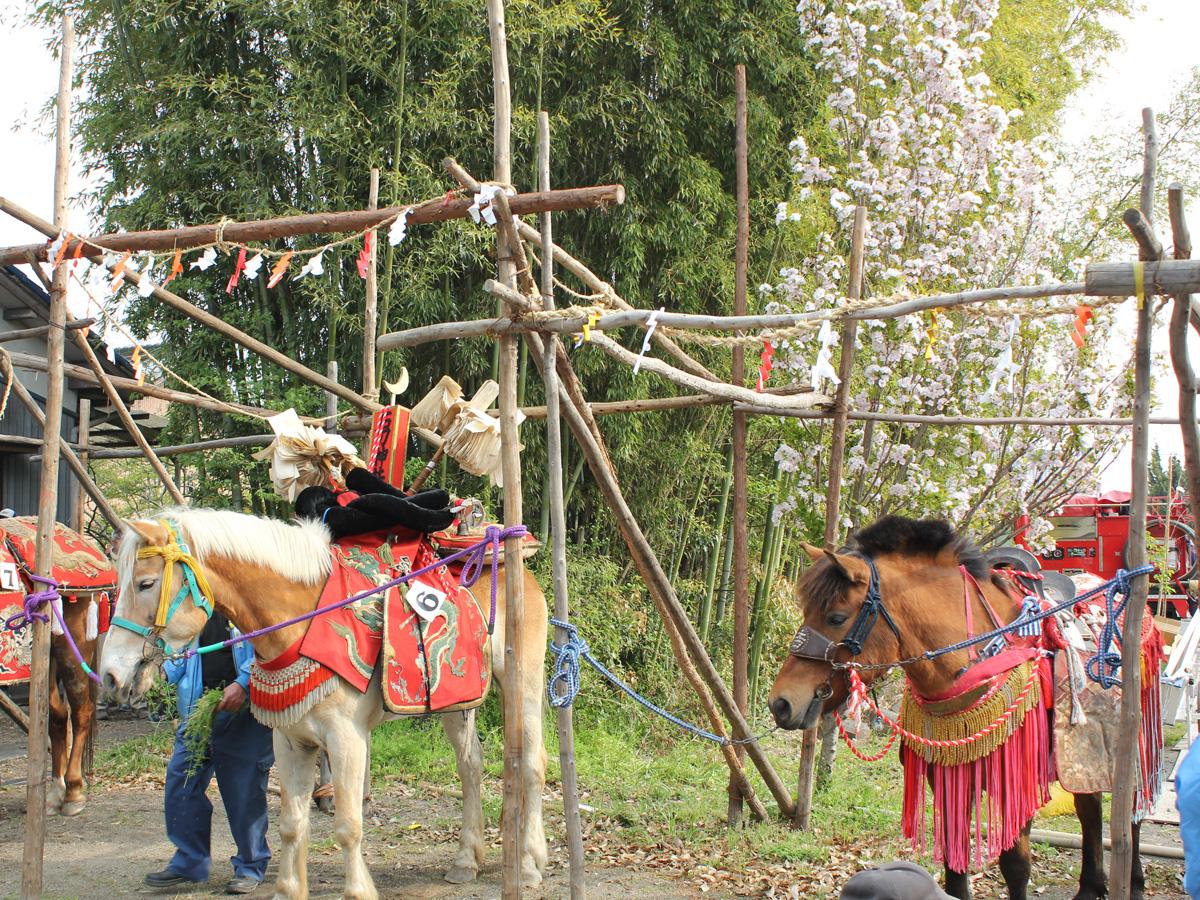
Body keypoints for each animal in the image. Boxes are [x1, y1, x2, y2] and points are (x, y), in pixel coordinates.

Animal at [98, 508, 549, 900]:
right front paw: (287, 889)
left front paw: (359, 890)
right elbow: (291, 824)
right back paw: (466, 860)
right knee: (470, 765)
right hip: (457, 699)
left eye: (145, 584)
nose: (110, 674)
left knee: (531, 763)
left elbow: (348, 825)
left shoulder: (346, 738)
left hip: (522, 680)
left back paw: (528, 863)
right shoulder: (289, 740)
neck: (302, 619)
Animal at [768, 513, 1152, 900]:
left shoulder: (1018, 780)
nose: (780, 703)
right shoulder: (947, 774)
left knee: (1130, 813)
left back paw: (1133, 881)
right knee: (1090, 805)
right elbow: (954, 860)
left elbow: (1015, 864)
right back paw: (1091, 885)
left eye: (835, 617)